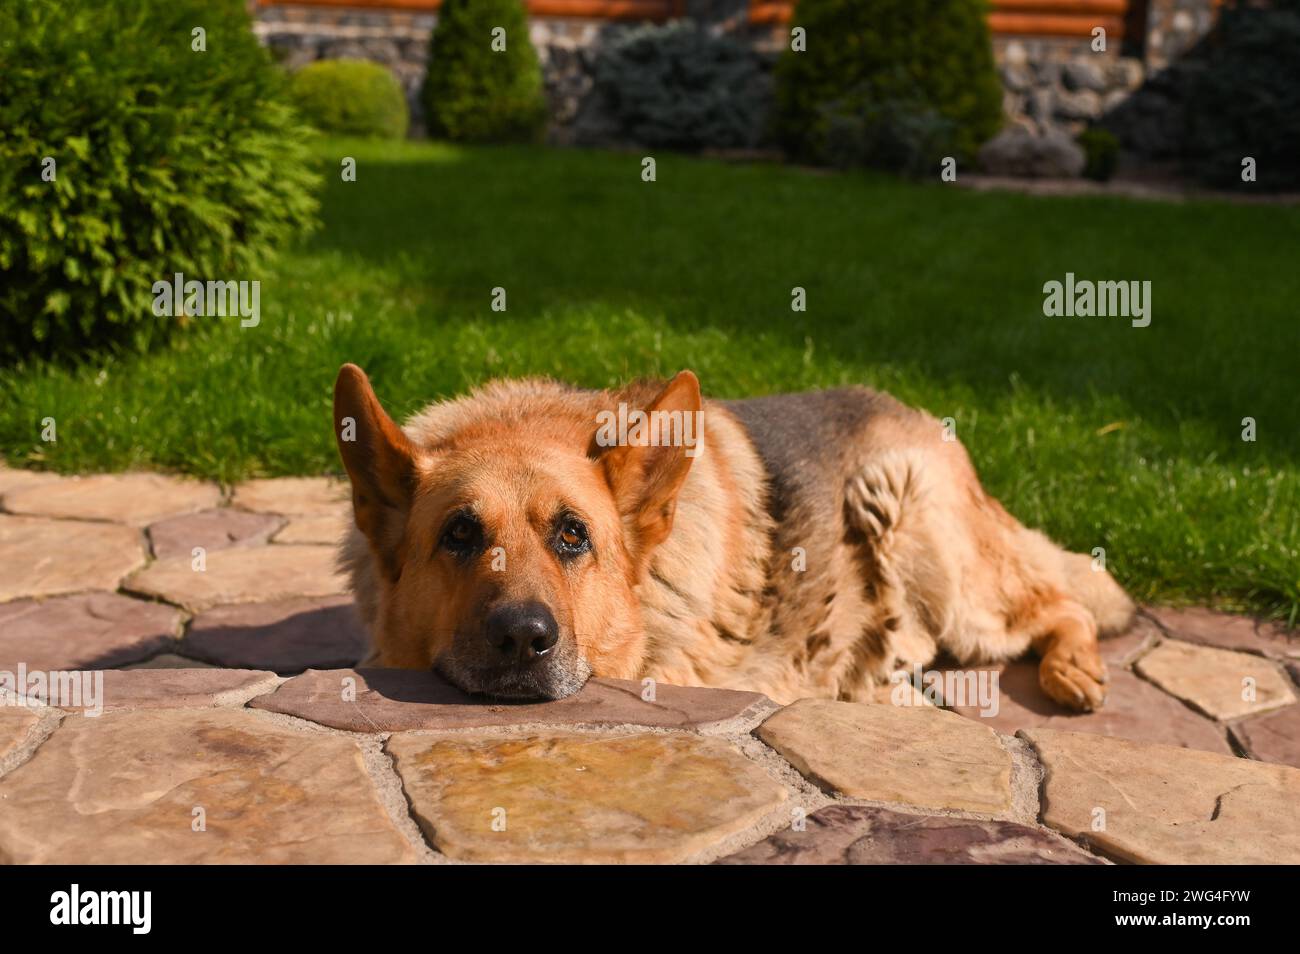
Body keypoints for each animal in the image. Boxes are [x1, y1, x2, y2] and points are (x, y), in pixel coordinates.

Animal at [338, 363, 1138, 712]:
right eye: (460, 534)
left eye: (573, 535)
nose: (521, 638)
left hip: (919, 532)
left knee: (1061, 604)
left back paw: (1073, 669)